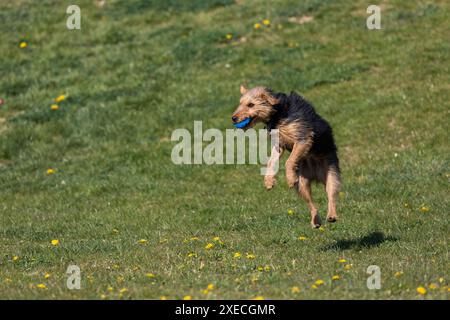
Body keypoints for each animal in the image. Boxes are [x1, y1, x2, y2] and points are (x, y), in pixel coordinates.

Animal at [232, 86, 342, 229]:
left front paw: (289, 178)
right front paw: (269, 181)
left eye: (251, 104)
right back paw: (316, 221)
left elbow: (289, 161)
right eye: (240, 103)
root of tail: (316, 175)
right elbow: (271, 162)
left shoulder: (302, 139)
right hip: (302, 184)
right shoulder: (279, 145)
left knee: (331, 194)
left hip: (331, 172)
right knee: (311, 203)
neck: (277, 114)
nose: (233, 118)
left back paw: (332, 215)